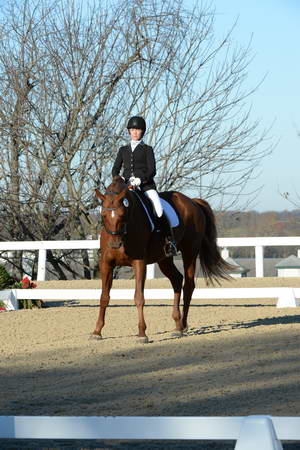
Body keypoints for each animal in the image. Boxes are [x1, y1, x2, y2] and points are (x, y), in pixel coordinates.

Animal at [92, 175, 231, 342]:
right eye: (103, 215)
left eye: (122, 214)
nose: (114, 244)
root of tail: (193, 202)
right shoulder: (106, 264)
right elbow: (104, 297)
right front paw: (97, 331)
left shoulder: (139, 263)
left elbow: (139, 297)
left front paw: (142, 333)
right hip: (164, 259)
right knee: (177, 280)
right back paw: (177, 325)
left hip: (190, 252)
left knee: (188, 285)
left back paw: (183, 325)